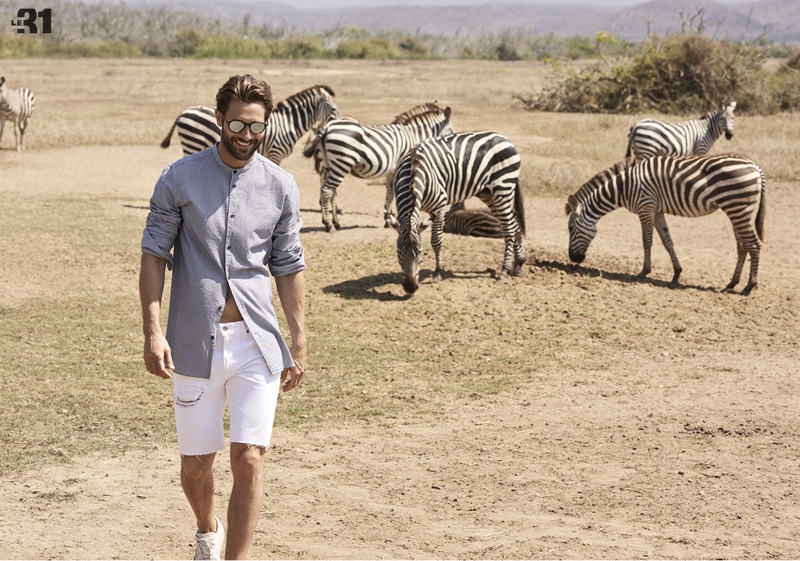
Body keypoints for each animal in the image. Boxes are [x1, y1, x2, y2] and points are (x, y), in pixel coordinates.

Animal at [161, 84, 340, 164]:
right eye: (333, 108)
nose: (339, 123)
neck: (288, 124)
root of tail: (183, 112)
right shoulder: (275, 152)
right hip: (193, 142)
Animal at [302, 105, 454, 232]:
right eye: (451, 131)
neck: (414, 136)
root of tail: (327, 126)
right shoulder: (403, 168)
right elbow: (397, 193)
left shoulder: (392, 171)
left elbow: (390, 193)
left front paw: (388, 219)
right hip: (342, 163)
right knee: (327, 190)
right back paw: (328, 224)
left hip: (329, 165)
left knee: (330, 191)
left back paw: (336, 222)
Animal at [392, 131, 528, 294]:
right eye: (399, 252)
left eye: (420, 252)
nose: (410, 287)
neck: (413, 171)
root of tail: (505, 139)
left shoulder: (439, 206)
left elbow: (436, 241)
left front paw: (438, 273)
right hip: (487, 192)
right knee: (515, 220)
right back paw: (518, 265)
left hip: (503, 188)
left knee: (508, 228)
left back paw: (504, 271)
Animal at [564, 151, 764, 296]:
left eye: (570, 228)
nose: (573, 258)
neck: (624, 187)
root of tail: (755, 166)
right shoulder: (657, 211)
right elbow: (667, 241)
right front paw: (676, 273)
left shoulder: (645, 207)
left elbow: (647, 241)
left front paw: (644, 272)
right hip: (736, 210)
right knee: (742, 246)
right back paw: (732, 283)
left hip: (738, 207)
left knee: (754, 244)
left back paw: (749, 286)